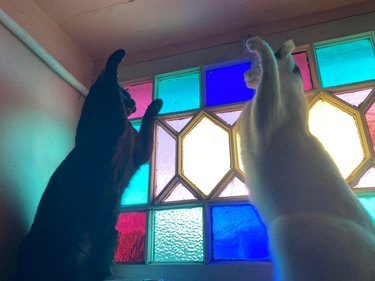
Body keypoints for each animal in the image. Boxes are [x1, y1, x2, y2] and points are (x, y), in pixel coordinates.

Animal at [15, 49, 164, 280]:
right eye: (128, 95)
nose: (134, 102)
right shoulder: (103, 118)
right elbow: (106, 83)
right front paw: (116, 59)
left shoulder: (141, 151)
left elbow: (146, 123)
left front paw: (155, 105)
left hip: (106, 242)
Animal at [238, 37, 375, 280]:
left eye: (254, 65)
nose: (245, 75)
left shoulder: (266, 119)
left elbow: (269, 72)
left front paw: (257, 44)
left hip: (287, 227)